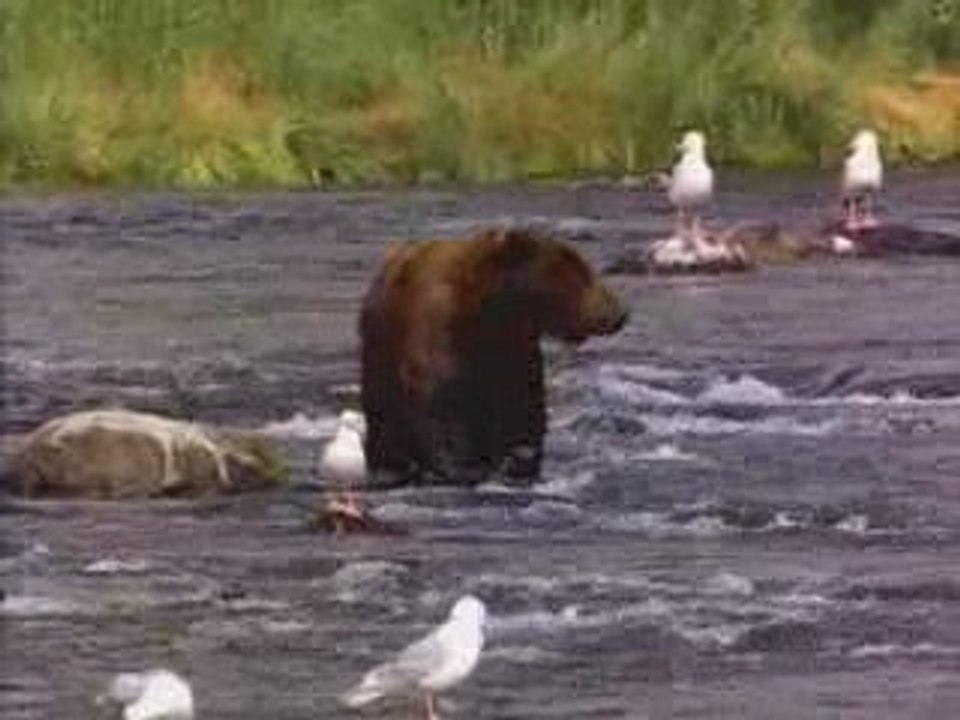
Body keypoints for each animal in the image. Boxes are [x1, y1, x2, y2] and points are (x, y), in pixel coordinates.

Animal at [360, 225, 628, 486]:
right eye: (581, 273)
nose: (619, 313)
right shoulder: (440, 329)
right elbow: (438, 400)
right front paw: (462, 467)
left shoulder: (512, 348)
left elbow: (521, 402)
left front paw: (519, 458)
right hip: (379, 354)